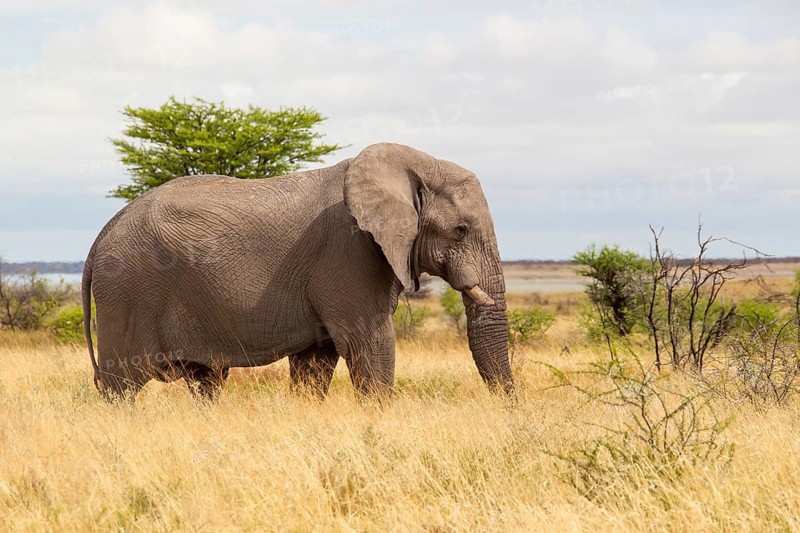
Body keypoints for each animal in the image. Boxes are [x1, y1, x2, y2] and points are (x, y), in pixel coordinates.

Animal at [82, 142, 513, 400]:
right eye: (461, 229)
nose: (510, 409)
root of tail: (100, 236)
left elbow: (315, 362)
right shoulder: (348, 253)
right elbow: (369, 345)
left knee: (207, 381)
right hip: (127, 291)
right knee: (121, 386)